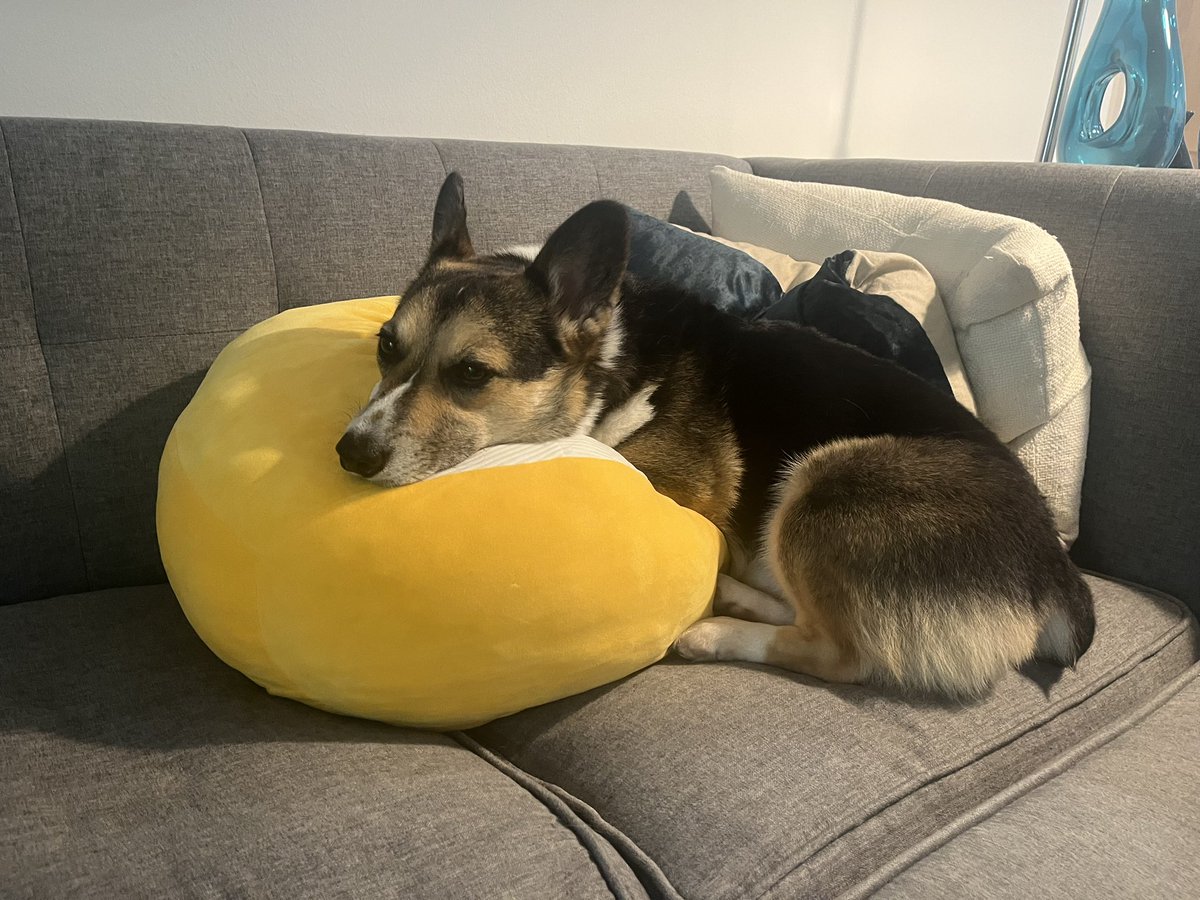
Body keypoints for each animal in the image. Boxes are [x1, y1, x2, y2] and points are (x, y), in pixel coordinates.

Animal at [338, 172, 1099, 700]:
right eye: (386, 347)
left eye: (471, 373)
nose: (350, 452)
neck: (608, 364)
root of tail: (1055, 574)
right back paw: (736, 593)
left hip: (828, 477)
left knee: (843, 654)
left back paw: (716, 630)